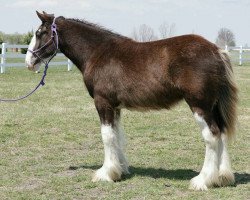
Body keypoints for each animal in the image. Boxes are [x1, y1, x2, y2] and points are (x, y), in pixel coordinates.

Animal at [25, 11, 238, 190]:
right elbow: (117, 135)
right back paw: (222, 177)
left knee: (212, 136)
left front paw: (105, 173)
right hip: (213, 106)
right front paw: (120, 169)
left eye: (40, 33)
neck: (98, 53)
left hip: (200, 105)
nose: (29, 62)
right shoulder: (115, 107)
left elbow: (107, 136)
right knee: (222, 134)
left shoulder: (103, 103)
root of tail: (216, 51)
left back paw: (203, 180)